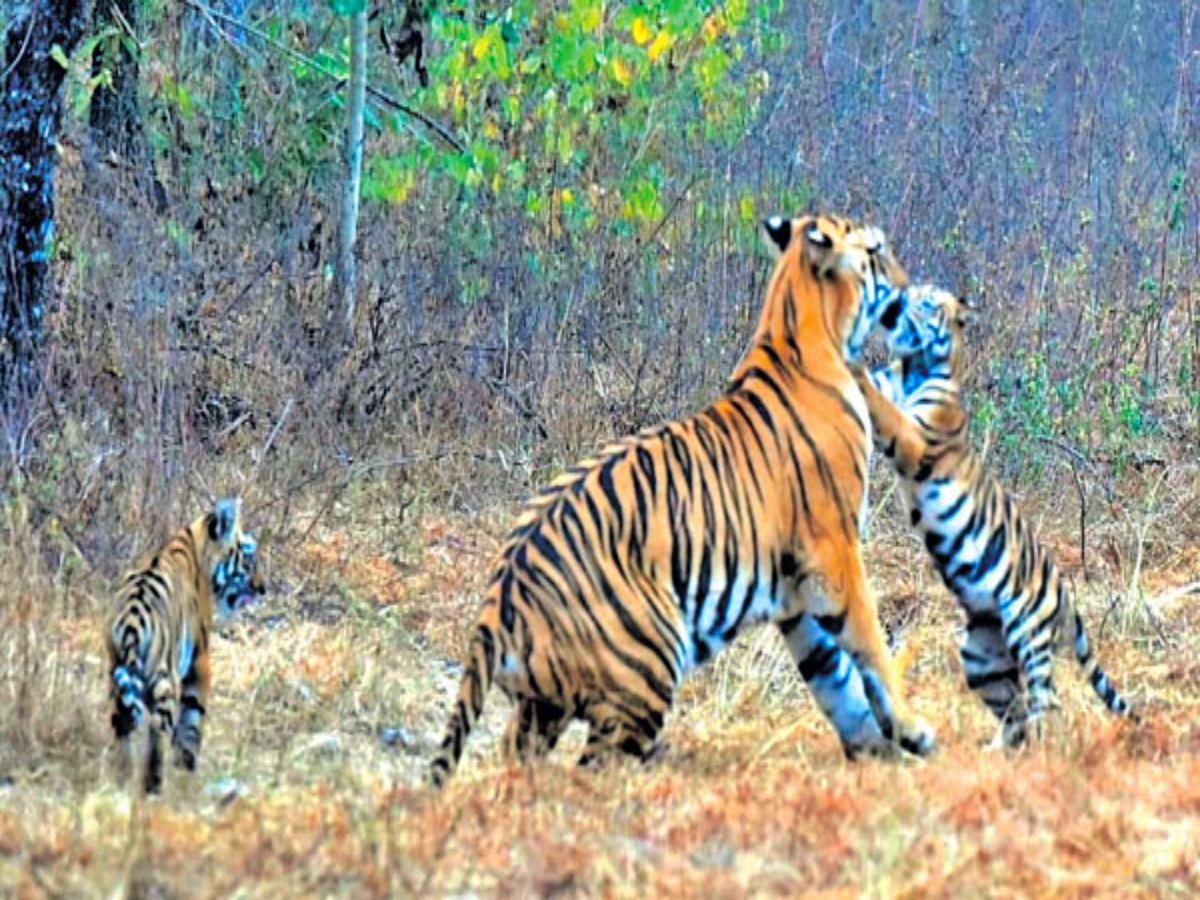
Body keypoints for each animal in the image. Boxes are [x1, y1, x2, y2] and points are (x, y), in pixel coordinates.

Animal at [107, 501, 262, 796]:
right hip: (164, 678)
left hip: (116, 677)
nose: (263, 588)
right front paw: (186, 771)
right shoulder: (200, 661)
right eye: (248, 559)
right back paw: (153, 789)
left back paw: (120, 781)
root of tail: (132, 621)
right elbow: (192, 720)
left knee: (121, 727)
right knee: (157, 730)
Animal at [432, 213, 936, 787]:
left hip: (545, 704)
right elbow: (869, 642)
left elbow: (833, 675)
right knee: (594, 770)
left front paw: (876, 748)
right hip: (647, 663)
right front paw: (911, 729)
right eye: (876, 250)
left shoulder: (794, 588)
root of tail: (500, 598)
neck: (800, 326)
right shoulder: (834, 551)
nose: (908, 285)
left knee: (519, 754)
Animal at [840, 286, 1128, 748]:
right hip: (981, 659)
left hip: (1028, 630)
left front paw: (851, 361)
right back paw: (997, 751)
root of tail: (1067, 601)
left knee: (1046, 701)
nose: (897, 303)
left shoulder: (912, 436)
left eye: (926, 302)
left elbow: (882, 406)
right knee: (1015, 710)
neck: (916, 367)